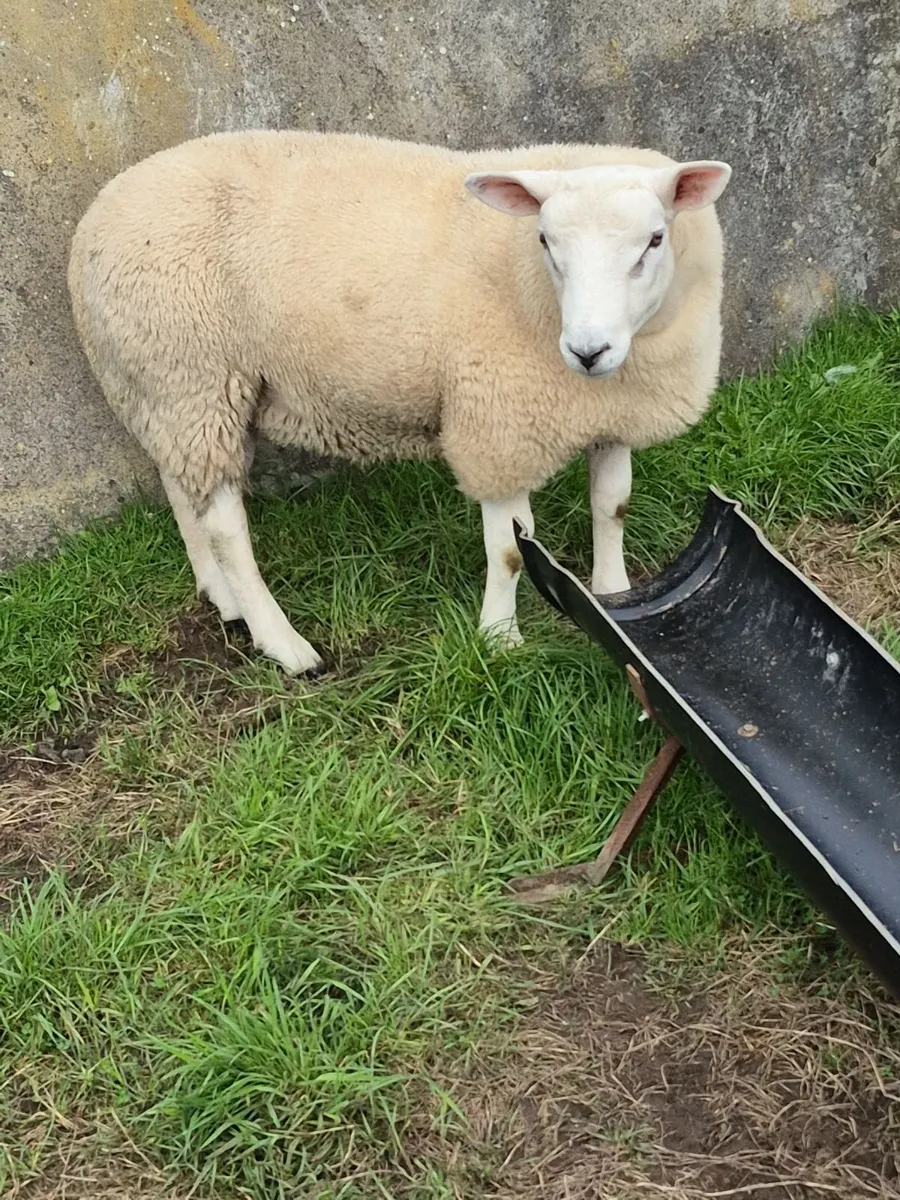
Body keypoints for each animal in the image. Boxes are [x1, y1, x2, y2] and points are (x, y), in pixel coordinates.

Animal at [67, 130, 731, 675]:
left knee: (184, 490)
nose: (588, 350)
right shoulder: (495, 422)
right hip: (194, 370)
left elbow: (612, 508)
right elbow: (509, 551)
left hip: (167, 387)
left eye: (654, 240)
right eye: (545, 240)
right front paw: (499, 639)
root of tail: (97, 216)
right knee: (226, 525)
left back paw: (220, 595)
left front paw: (612, 593)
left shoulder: (614, 413)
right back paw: (284, 644)